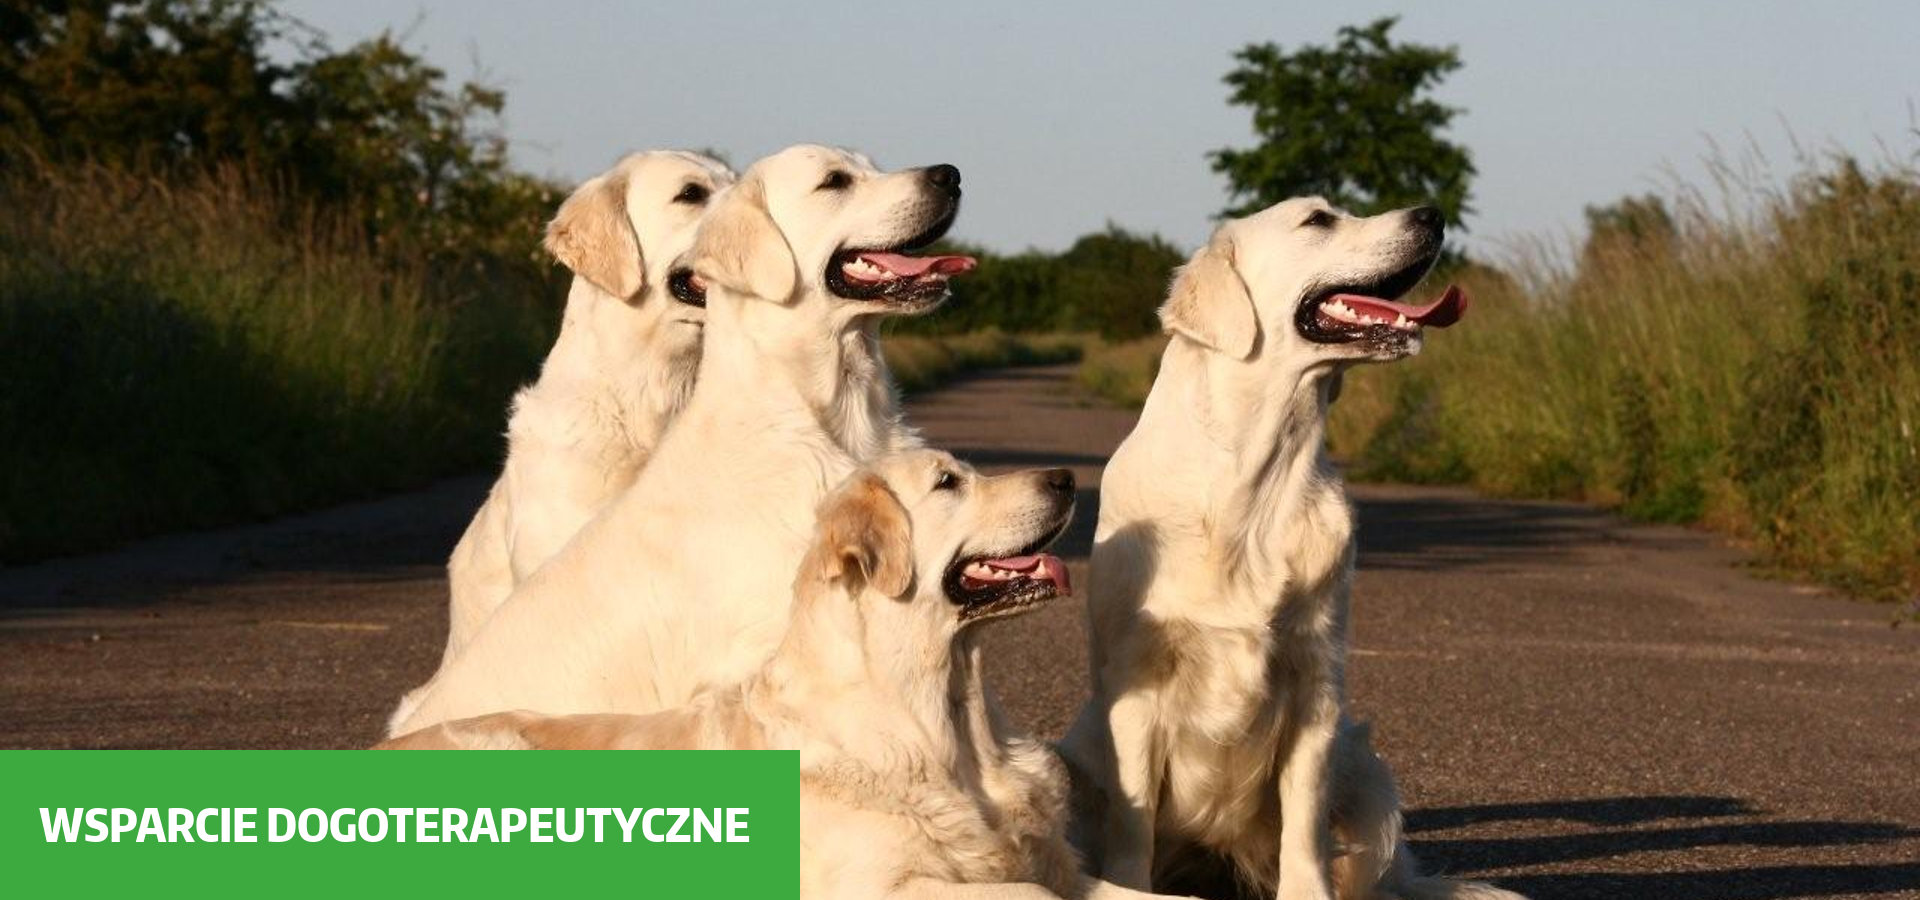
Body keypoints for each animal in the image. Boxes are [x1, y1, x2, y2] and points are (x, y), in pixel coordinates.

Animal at [383, 451, 1191, 900]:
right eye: (947, 482)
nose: (1066, 478)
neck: (945, 721)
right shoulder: (880, 886)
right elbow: (1025, 893)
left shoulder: (1061, 865)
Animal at [1060, 199, 1517, 900]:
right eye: (1318, 220)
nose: (1431, 213)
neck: (1256, 476)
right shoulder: (1135, 678)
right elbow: (1132, 821)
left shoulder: (1315, 676)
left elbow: (1303, 819)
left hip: (1364, 765)